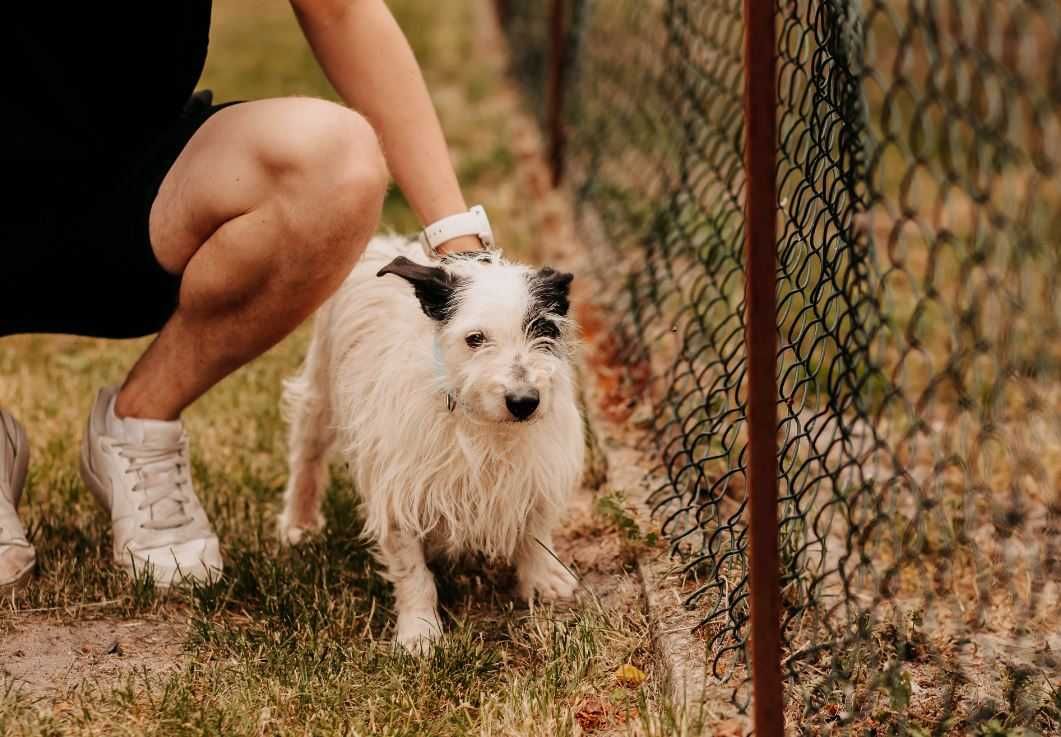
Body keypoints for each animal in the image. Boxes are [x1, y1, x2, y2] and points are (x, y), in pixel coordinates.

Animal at [277, 235, 585, 653]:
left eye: (543, 330)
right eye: (475, 339)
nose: (524, 402)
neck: (480, 423)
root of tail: (384, 241)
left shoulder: (537, 469)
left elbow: (535, 528)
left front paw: (542, 578)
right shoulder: (398, 491)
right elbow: (412, 572)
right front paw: (420, 630)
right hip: (320, 393)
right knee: (306, 455)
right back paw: (299, 522)